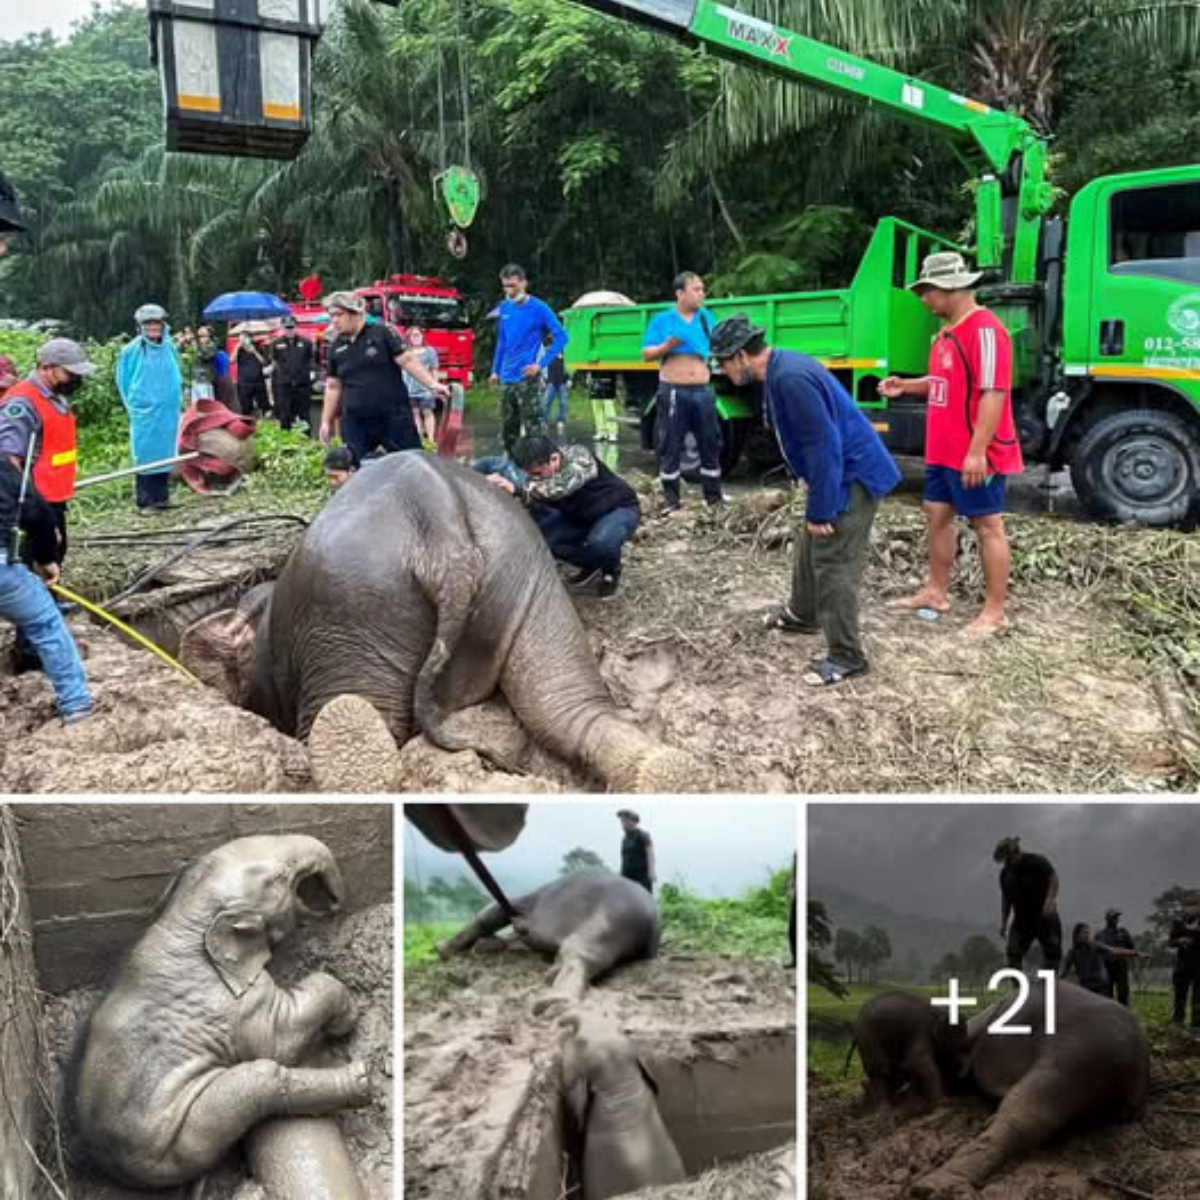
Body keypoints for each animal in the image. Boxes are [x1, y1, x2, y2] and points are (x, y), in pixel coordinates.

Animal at [64, 835, 372, 1197]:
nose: (334, 905)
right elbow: (279, 1039)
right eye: (279, 878)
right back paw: (361, 1079)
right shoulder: (236, 1003)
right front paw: (347, 1019)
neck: (186, 917)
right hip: (180, 1139)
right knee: (261, 1079)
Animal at [179, 453, 703, 793]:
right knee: (565, 704)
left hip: (354, 611)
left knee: (353, 713)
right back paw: (671, 774)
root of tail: (440, 527)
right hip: (529, 580)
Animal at [436, 867, 659, 1015]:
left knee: (584, 952)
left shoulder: (522, 902)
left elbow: (486, 916)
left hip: (605, 921)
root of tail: (648, 919)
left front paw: (441, 949)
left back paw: (553, 1000)